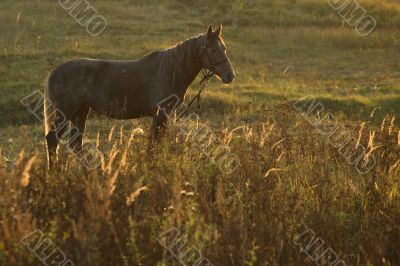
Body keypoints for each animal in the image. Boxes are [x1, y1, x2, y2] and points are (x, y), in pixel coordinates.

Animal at [44, 26, 234, 169]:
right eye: (212, 49)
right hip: (65, 112)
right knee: (53, 140)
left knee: (75, 144)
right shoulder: (160, 114)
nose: (230, 76)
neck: (170, 71)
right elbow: (154, 144)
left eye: (224, 48)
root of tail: (55, 72)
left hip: (81, 111)